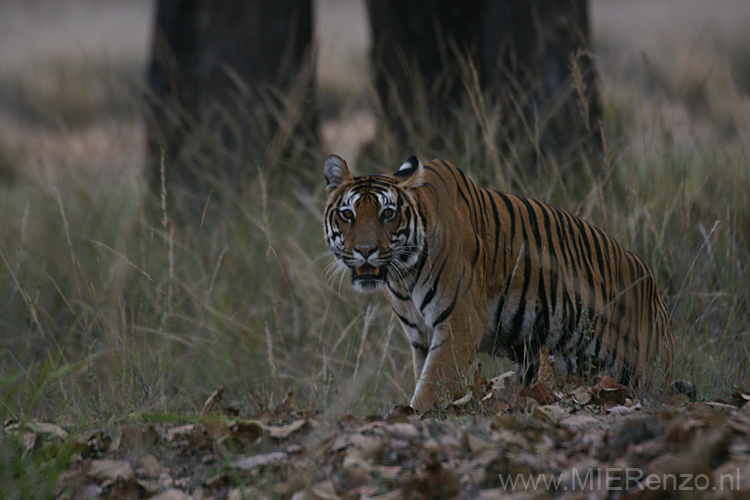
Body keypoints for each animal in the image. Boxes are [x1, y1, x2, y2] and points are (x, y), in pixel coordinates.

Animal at [324, 154, 676, 412]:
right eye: (347, 214)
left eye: (387, 214)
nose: (365, 250)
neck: (403, 277)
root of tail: (656, 292)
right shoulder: (420, 336)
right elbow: (427, 378)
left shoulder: (459, 324)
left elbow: (431, 385)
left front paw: (414, 415)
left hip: (642, 370)